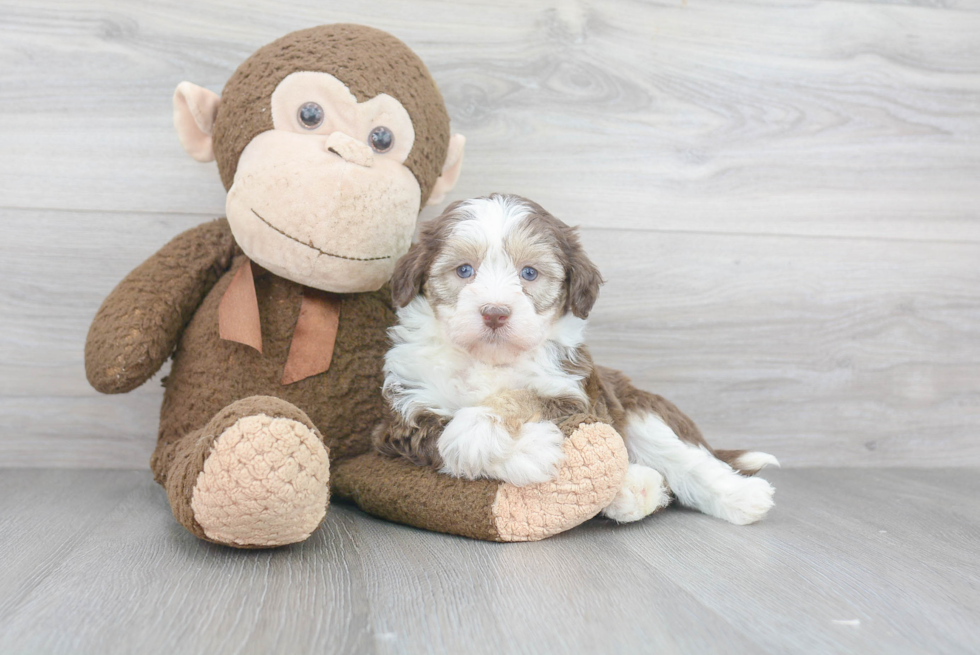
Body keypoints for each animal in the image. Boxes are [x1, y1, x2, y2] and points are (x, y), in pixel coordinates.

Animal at [376, 192, 780, 524]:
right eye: (464, 270)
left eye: (529, 273)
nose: (494, 313)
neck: (489, 359)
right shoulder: (404, 417)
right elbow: (436, 439)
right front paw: (529, 451)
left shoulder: (575, 395)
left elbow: (520, 397)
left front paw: (480, 426)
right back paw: (634, 488)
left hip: (638, 410)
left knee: (687, 461)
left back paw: (742, 498)